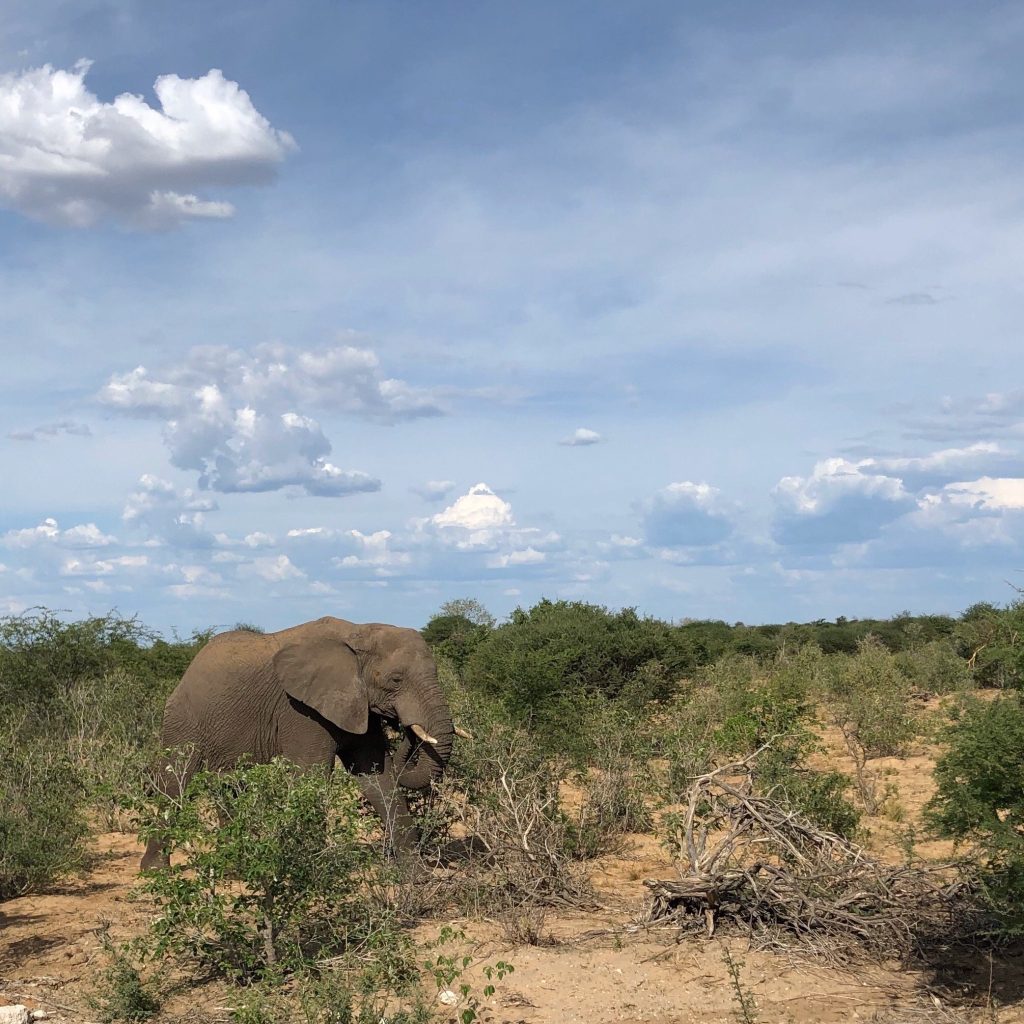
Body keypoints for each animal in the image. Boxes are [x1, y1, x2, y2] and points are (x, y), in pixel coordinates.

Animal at [139, 615, 455, 871]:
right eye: (395, 679)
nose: (405, 727)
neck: (358, 632)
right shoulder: (300, 710)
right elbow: (311, 774)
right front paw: (310, 870)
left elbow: (378, 776)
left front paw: (416, 874)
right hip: (183, 721)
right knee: (175, 784)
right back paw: (156, 870)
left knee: (229, 785)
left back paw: (237, 865)